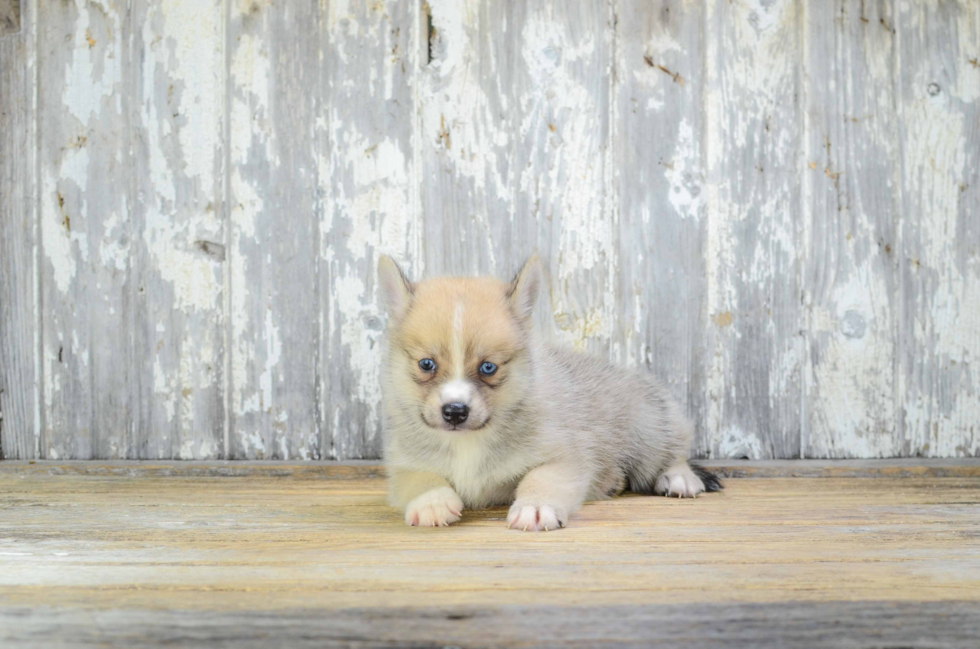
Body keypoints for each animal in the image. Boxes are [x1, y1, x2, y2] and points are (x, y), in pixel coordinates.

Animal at [378, 253, 724, 532]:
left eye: (489, 367)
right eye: (427, 364)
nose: (454, 411)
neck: (469, 442)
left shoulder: (563, 456)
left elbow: (541, 479)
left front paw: (535, 507)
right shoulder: (404, 463)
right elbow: (419, 479)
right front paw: (432, 502)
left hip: (648, 430)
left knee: (673, 451)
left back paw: (679, 478)